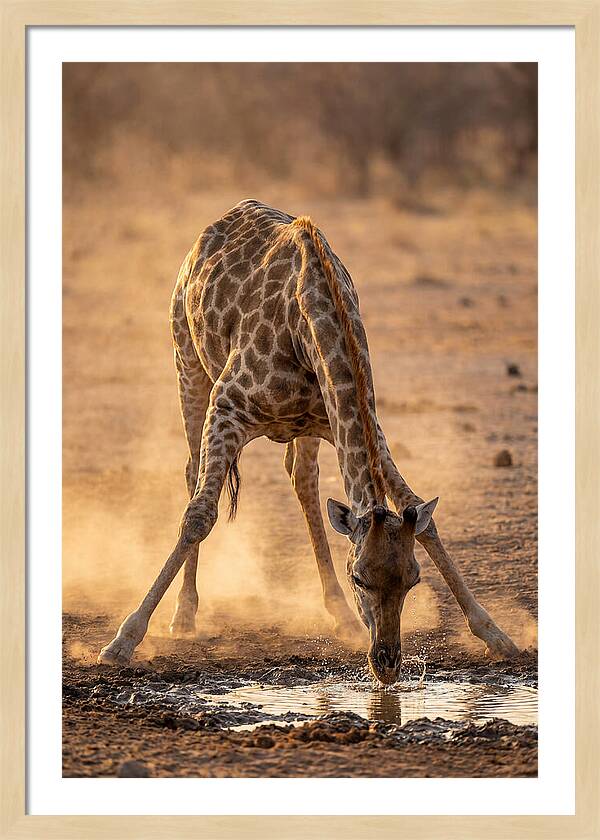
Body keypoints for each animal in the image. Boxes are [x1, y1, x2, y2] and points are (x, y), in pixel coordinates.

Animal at [98, 199, 519, 683]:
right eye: (360, 577)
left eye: (412, 579)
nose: (387, 664)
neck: (312, 322)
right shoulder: (227, 407)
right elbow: (199, 516)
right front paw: (124, 639)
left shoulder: (356, 422)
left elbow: (421, 517)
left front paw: (495, 634)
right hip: (187, 364)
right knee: (192, 474)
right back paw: (184, 616)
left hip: (304, 427)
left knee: (303, 480)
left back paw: (340, 616)